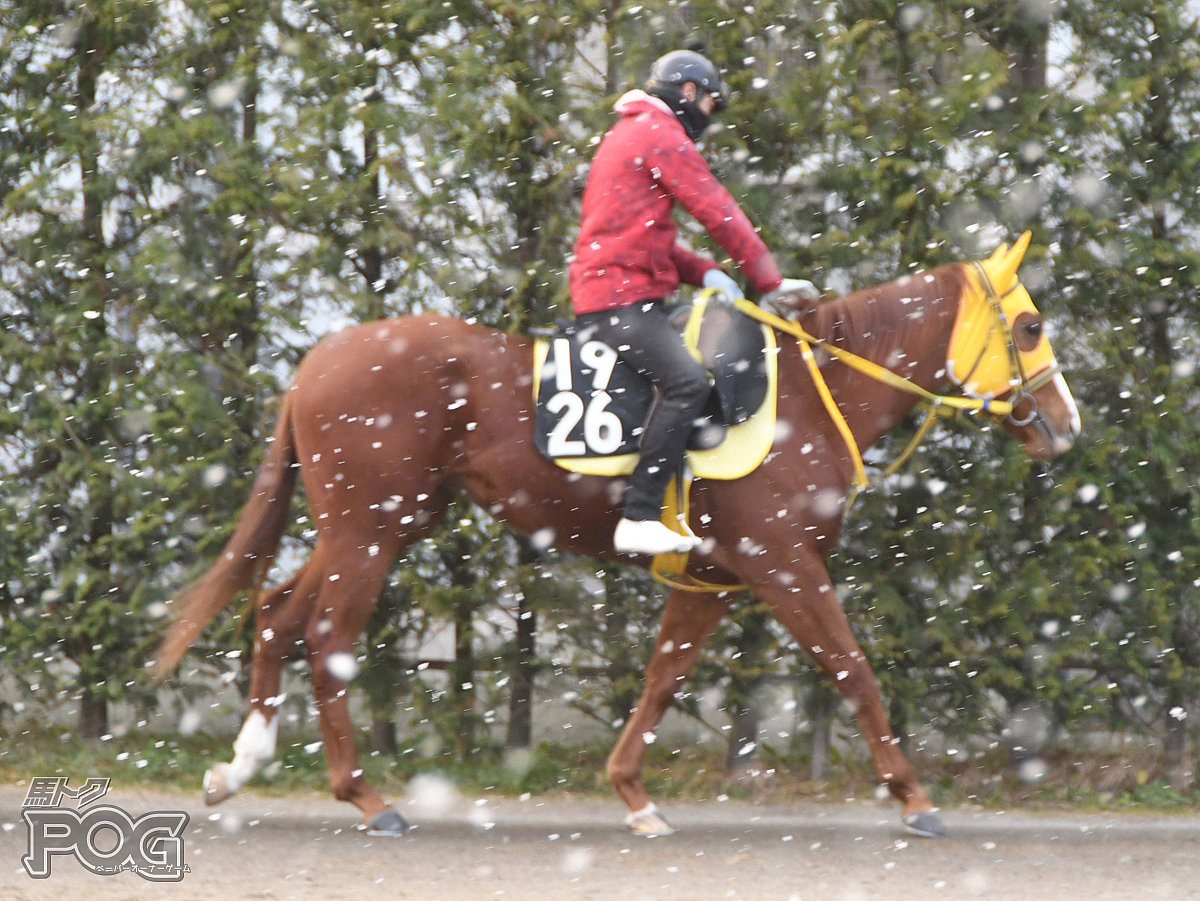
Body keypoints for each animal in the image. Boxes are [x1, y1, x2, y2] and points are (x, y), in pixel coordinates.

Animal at [150, 233, 1080, 839]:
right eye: (1031, 325)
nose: (1066, 424)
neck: (812, 394)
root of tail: (317, 358)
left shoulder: (715, 574)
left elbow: (664, 677)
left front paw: (633, 791)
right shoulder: (782, 562)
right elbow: (853, 668)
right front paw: (915, 796)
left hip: (376, 523)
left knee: (275, 610)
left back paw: (239, 765)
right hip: (370, 529)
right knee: (325, 633)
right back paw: (366, 797)